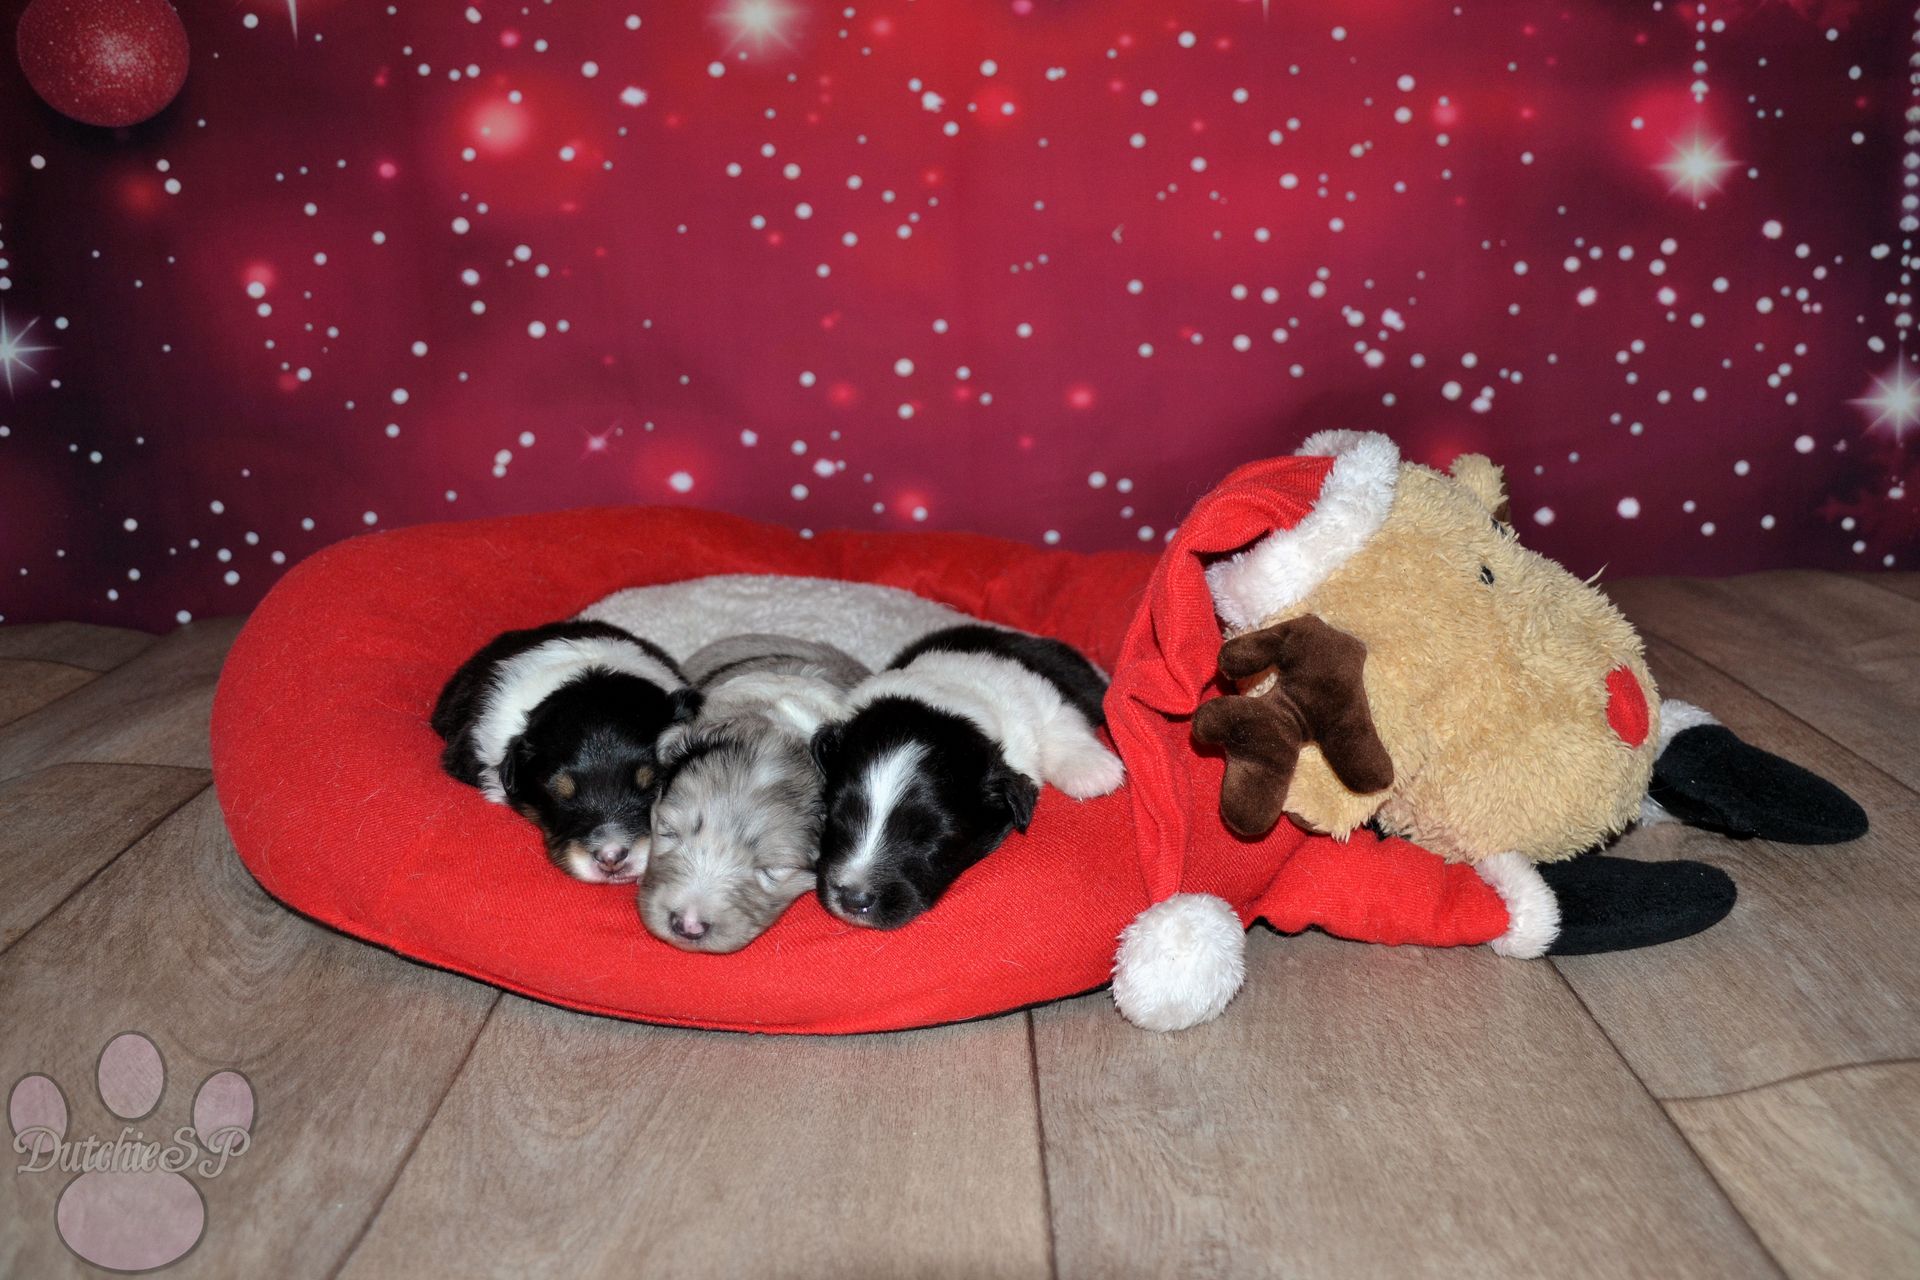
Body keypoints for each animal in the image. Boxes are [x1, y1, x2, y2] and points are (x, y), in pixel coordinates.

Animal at [812, 624, 1125, 930]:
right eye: (835, 817)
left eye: (931, 840)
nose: (853, 899)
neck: (944, 697)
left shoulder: (1039, 699)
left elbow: (1060, 720)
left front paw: (1093, 770)